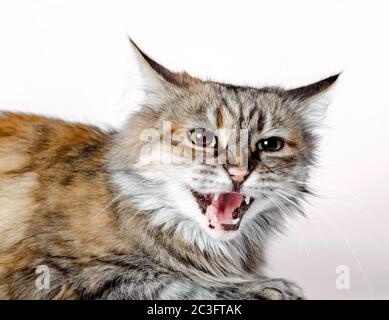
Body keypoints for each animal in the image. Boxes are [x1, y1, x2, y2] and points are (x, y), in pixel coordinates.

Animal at [0, 40, 338, 300]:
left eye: (269, 145)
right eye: (202, 138)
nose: (238, 173)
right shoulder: (50, 272)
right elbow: (174, 283)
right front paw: (266, 287)